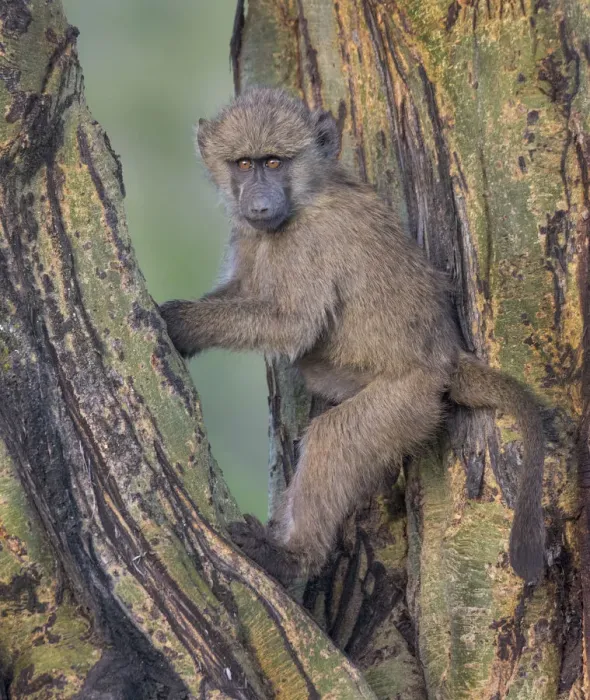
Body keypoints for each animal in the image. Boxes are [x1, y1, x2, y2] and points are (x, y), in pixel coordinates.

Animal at [159, 87, 545, 585]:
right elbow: (249, 292)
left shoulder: (307, 242)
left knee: (333, 437)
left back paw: (291, 556)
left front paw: (178, 322)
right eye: (244, 164)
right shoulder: (251, 237)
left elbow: (293, 323)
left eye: (275, 162)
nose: (259, 207)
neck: (303, 198)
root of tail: (447, 355)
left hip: (407, 400)